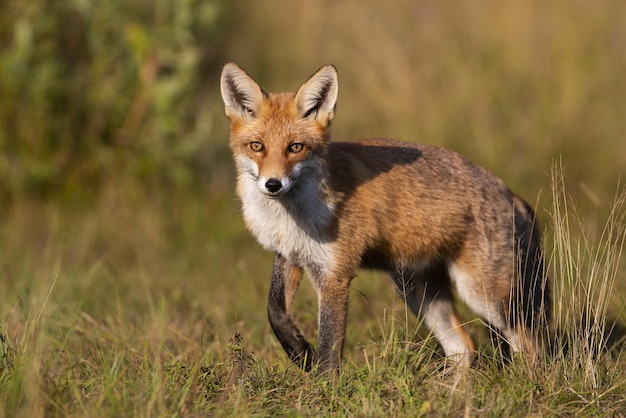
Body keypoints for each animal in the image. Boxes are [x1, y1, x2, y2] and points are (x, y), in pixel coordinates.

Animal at [218, 63, 544, 374]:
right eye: (257, 146)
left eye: (295, 147)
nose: (273, 184)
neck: (292, 216)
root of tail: (507, 190)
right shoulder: (290, 255)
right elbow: (274, 310)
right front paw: (300, 352)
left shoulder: (335, 274)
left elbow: (329, 350)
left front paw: (324, 386)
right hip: (419, 292)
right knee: (462, 347)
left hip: (483, 295)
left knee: (531, 346)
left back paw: (526, 386)